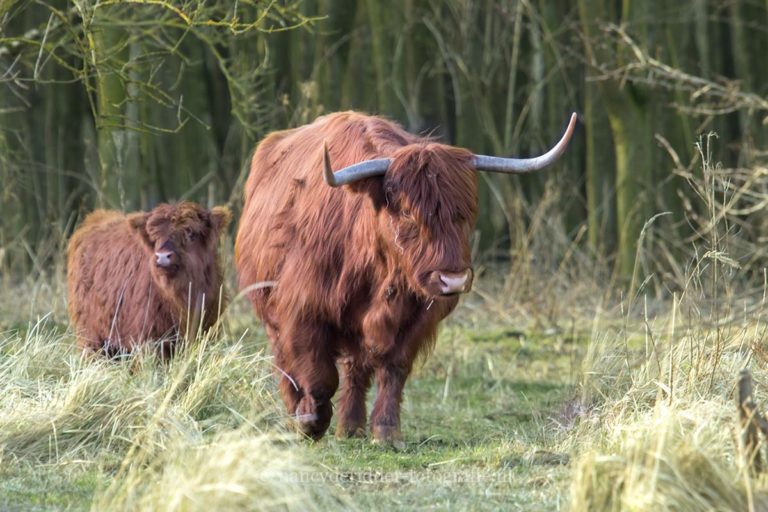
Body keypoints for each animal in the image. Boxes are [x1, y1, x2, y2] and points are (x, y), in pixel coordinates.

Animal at [67, 202, 231, 358]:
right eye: (155, 237)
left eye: (191, 233)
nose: (163, 256)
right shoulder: (149, 338)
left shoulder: (207, 329)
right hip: (90, 334)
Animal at [235, 111, 576, 445]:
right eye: (409, 214)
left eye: (466, 213)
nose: (453, 280)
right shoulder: (302, 310)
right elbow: (318, 374)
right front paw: (310, 422)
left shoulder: (417, 316)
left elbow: (393, 368)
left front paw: (386, 431)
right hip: (270, 310)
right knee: (287, 362)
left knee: (355, 367)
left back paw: (351, 427)